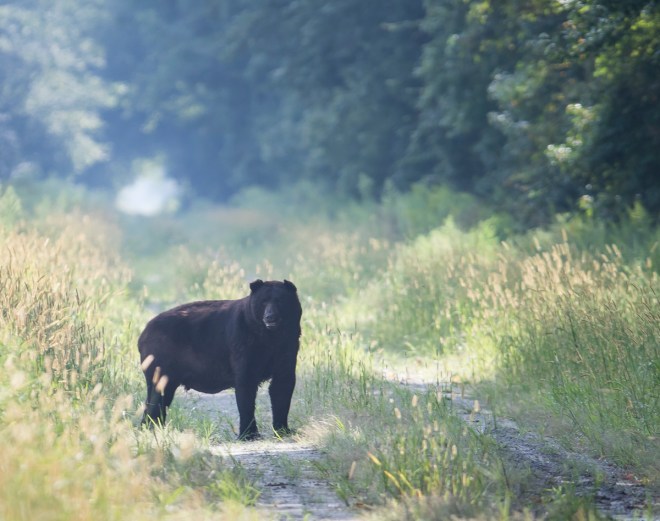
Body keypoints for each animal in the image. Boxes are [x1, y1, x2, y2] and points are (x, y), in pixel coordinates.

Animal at [138, 279, 302, 440]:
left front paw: (283, 429)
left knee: (161, 397)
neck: (270, 337)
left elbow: (282, 385)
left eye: (280, 301)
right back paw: (149, 428)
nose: (270, 317)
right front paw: (248, 434)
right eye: (263, 302)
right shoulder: (243, 343)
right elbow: (246, 385)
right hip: (160, 360)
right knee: (157, 395)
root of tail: (143, 333)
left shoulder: (288, 346)